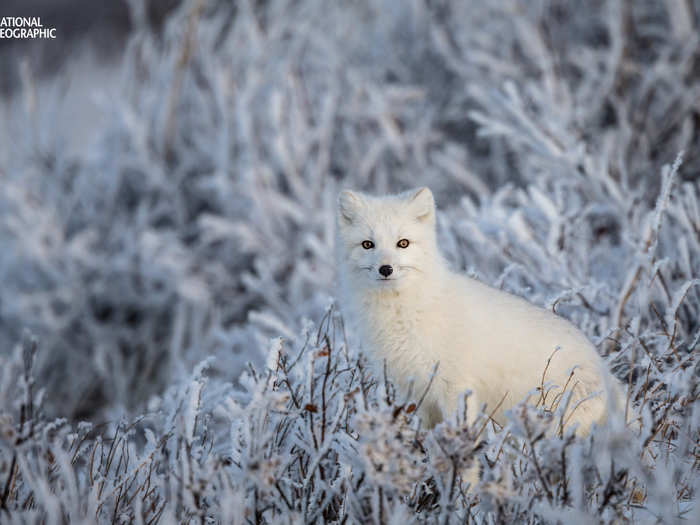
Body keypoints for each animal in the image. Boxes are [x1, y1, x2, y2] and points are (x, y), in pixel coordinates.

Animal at [338, 186, 624, 432]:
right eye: (367, 244)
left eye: (403, 243)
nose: (386, 269)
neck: (404, 312)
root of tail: (604, 369)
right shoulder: (415, 393)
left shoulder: (455, 387)